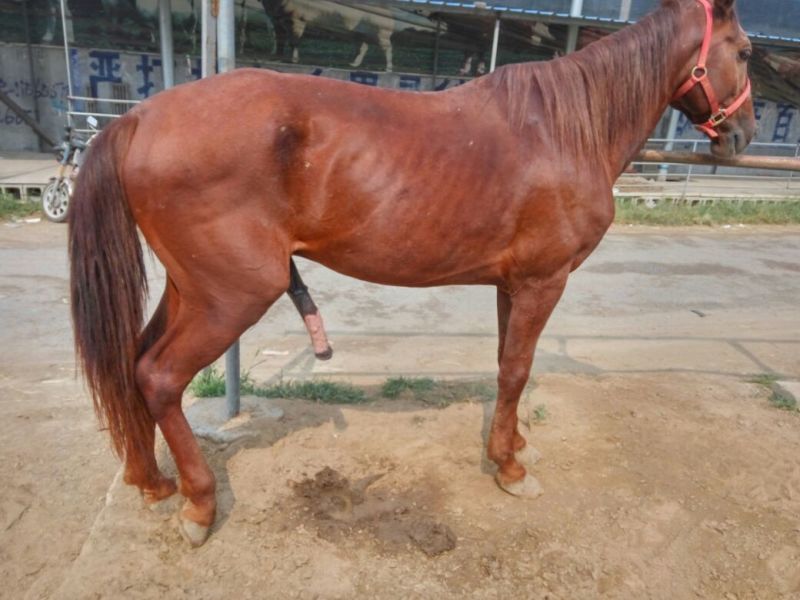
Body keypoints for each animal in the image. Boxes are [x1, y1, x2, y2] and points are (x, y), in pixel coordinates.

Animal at [68, 0, 755, 546]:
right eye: (745, 51)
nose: (744, 133)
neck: (564, 129)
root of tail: (138, 119)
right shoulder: (544, 281)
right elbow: (516, 370)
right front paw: (510, 470)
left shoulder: (513, 285)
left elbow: (508, 365)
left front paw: (513, 446)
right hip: (232, 296)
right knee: (159, 377)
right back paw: (199, 505)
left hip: (192, 290)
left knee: (133, 362)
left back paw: (152, 480)